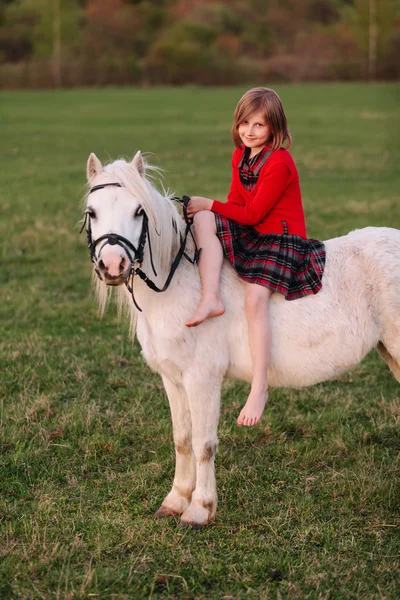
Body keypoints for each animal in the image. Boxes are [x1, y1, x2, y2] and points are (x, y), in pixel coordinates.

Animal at [83, 152, 400, 528]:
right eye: (92, 212)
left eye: (138, 211)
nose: (112, 264)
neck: (180, 284)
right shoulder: (172, 378)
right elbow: (182, 439)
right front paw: (175, 500)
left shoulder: (202, 378)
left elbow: (203, 443)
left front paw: (199, 509)